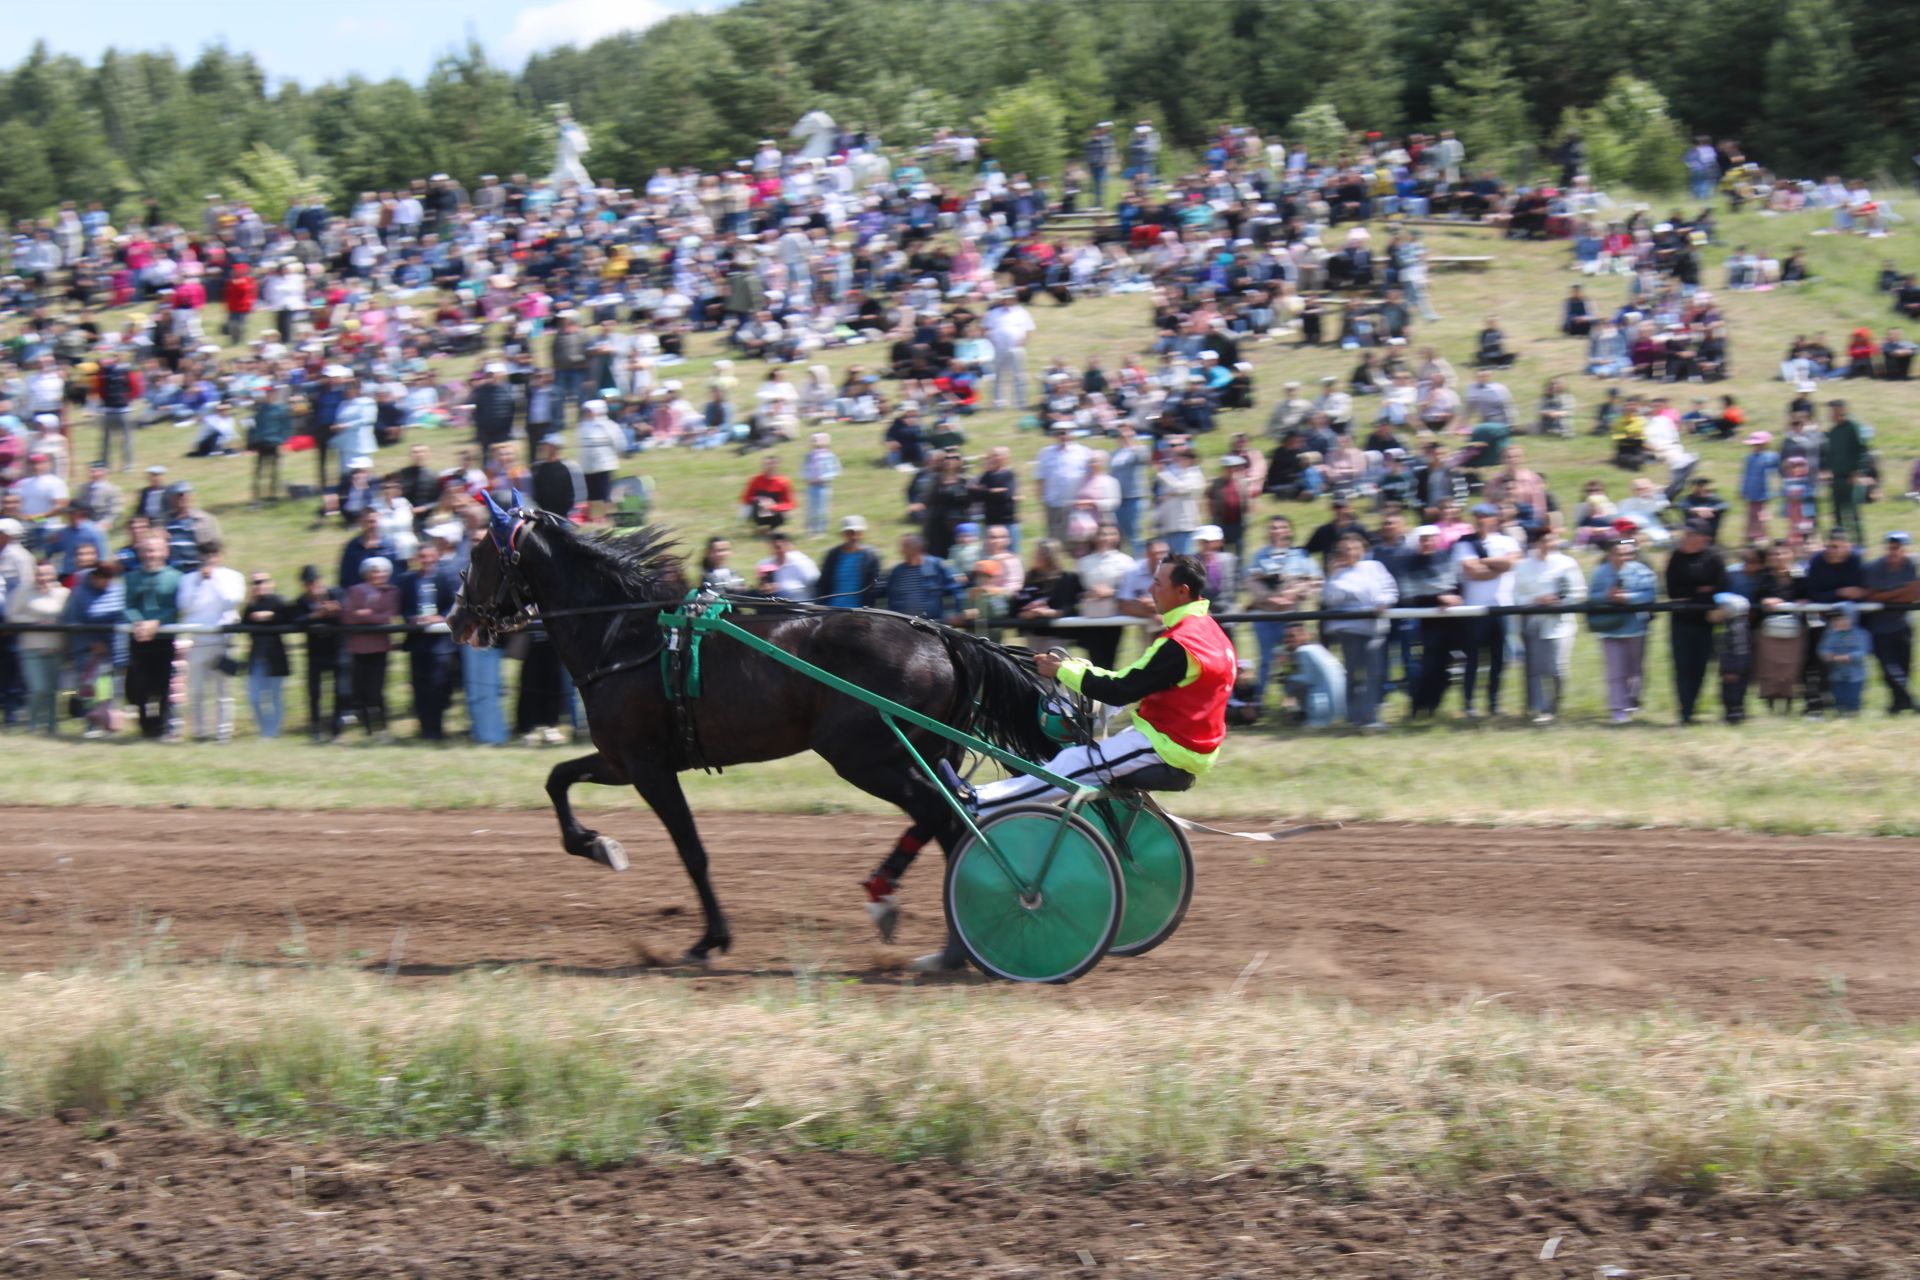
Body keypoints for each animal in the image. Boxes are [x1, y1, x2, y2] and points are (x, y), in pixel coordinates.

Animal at [443, 506, 1059, 967]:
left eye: (476, 556)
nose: (454, 619)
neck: (623, 633)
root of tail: (938, 635)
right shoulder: (621, 759)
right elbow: (557, 778)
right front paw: (595, 844)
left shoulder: (646, 765)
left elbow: (691, 850)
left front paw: (709, 938)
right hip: (914, 753)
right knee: (948, 819)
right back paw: (928, 928)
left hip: (866, 755)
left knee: (943, 818)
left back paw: (946, 929)